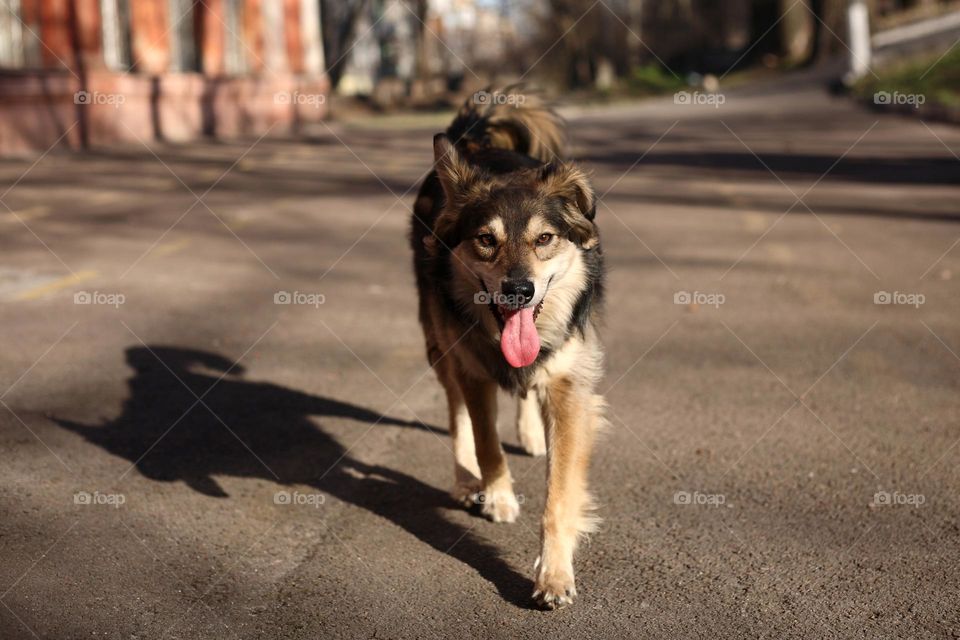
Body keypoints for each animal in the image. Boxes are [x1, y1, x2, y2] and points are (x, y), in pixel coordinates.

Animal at [406, 87, 604, 608]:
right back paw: (465, 481)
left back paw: (532, 434)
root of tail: (474, 138)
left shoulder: (570, 386)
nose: (519, 290)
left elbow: (559, 496)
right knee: (455, 411)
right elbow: (485, 440)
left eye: (545, 239)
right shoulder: (472, 369)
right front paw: (496, 497)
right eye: (485, 240)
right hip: (439, 342)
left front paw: (554, 576)